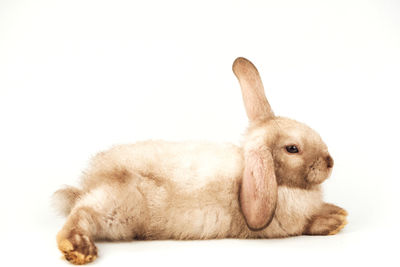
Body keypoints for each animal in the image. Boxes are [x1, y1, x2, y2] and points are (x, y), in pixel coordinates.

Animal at [53, 57, 346, 264]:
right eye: (292, 148)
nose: (330, 162)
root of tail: (91, 181)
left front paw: (336, 210)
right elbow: (308, 223)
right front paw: (335, 220)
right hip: (116, 208)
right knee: (80, 214)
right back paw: (80, 249)